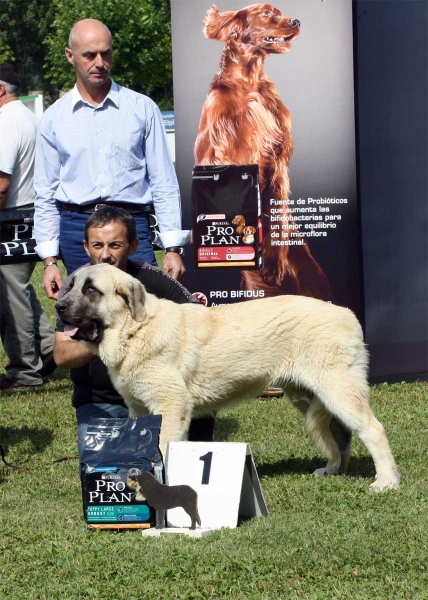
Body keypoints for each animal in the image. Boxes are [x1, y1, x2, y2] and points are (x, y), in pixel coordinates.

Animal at [56, 264, 402, 492]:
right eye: (69, 285)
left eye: (91, 289)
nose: (58, 307)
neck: (135, 329)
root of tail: (347, 313)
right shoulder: (139, 409)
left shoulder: (171, 406)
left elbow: (163, 450)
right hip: (308, 395)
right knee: (340, 434)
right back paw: (334, 469)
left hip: (337, 390)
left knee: (372, 430)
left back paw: (386, 481)